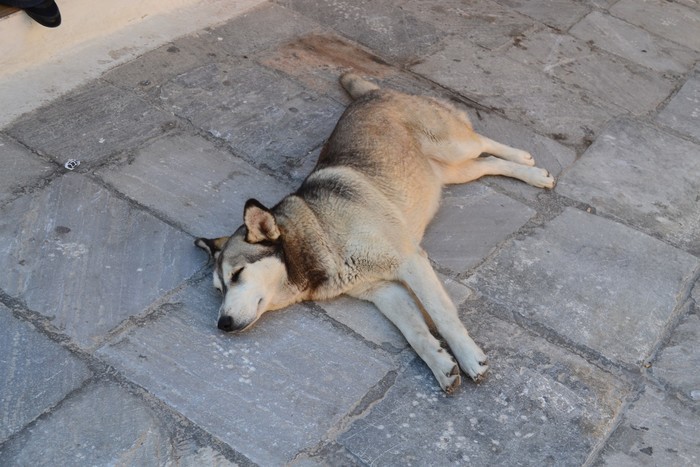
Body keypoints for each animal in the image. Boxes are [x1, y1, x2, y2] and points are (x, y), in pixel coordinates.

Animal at [196, 74, 552, 394]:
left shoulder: (410, 261)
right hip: (448, 173)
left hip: (451, 146)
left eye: (238, 274)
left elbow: (442, 314)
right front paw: (440, 364)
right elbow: (416, 332)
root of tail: (372, 93)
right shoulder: (384, 291)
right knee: (487, 164)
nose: (222, 324)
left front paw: (466, 355)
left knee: (483, 142)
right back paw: (528, 172)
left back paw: (527, 161)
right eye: (218, 289)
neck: (319, 234)